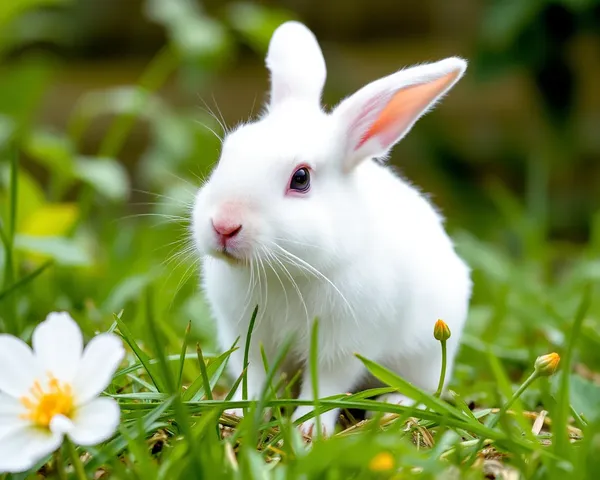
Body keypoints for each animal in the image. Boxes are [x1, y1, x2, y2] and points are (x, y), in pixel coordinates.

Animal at [190, 20, 472, 436]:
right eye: (227, 152)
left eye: (301, 178)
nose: (224, 225)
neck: (283, 273)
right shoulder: (247, 336)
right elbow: (251, 374)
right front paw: (238, 412)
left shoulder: (342, 346)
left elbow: (326, 385)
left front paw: (310, 430)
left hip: (426, 352)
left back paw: (395, 407)